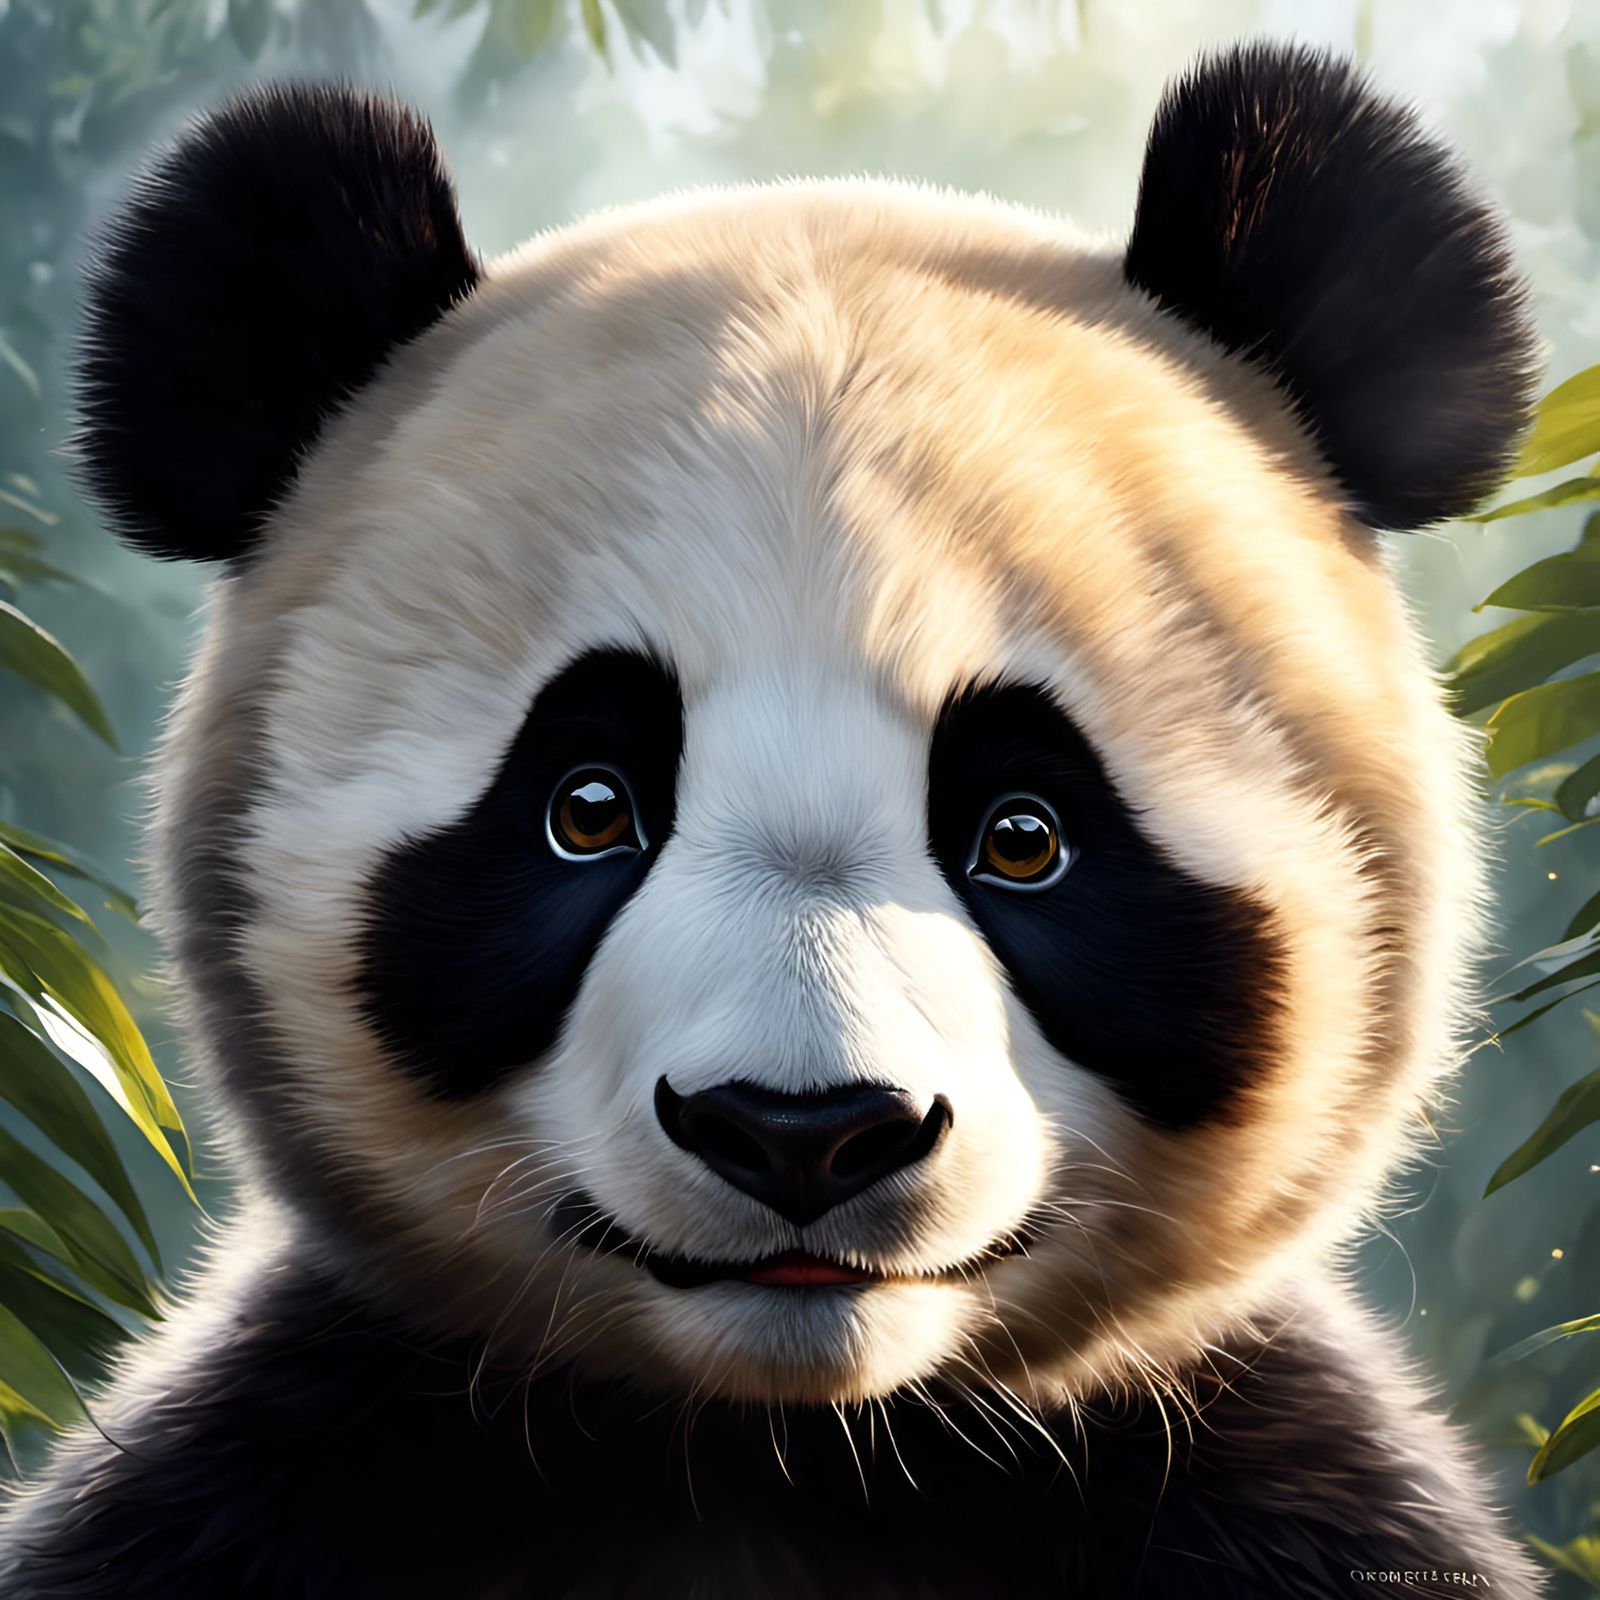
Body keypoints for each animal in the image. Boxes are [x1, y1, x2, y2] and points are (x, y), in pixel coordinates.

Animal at [0, 41, 1546, 1600]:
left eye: (1024, 833)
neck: (789, 1448)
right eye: (586, 810)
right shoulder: (287, 1460)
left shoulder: (1260, 1486)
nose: (803, 1131)